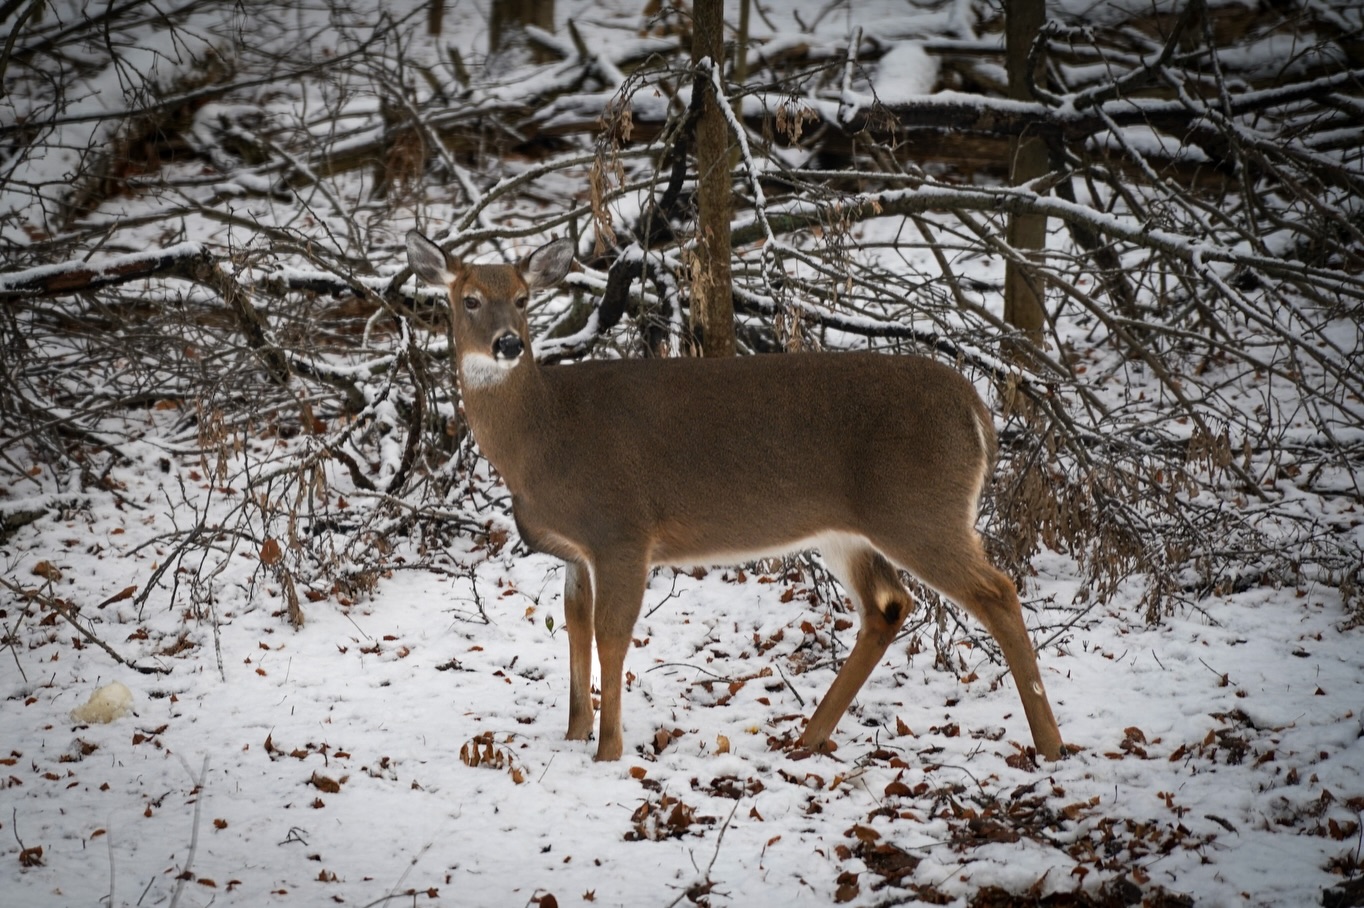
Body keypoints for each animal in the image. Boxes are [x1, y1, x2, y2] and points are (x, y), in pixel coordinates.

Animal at [406, 229, 1064, 764]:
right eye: (468, 299)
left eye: (522, 298)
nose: (508, 344)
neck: (542, 435)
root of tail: (978, 413)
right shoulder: (577, 550)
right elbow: (575, 627)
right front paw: (574, 734)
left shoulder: (622, 529)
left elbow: (611, 635)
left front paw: (607, 751)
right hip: (848, 530)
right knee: (889, 606)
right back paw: (806, 738)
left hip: (920, 509)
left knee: (997, 592)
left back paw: (1051, 746)